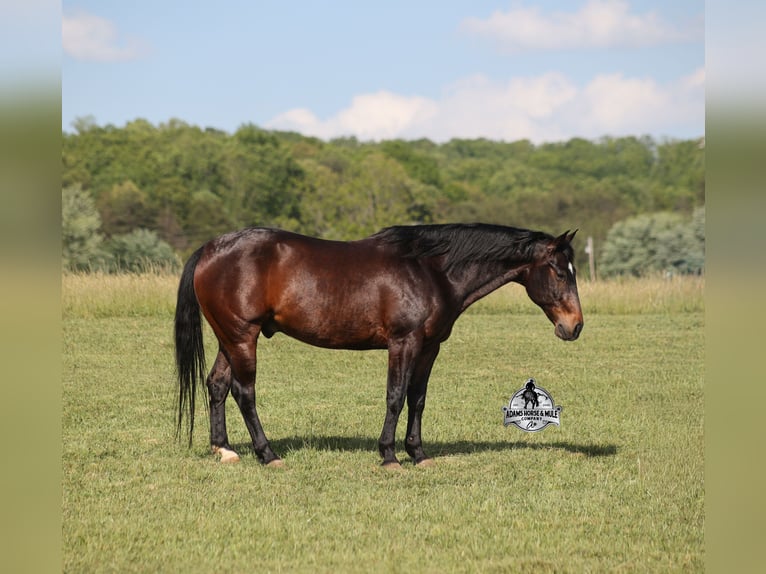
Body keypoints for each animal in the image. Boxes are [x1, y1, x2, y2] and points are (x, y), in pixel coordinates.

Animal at [174, 223, 583, 468]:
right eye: (559, 272)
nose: (575, 326)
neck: (430, 270)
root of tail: (211, 249)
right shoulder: (404, 343)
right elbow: (396, 396)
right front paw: (389, 455)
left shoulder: (429, 348)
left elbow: (418, 399)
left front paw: (418, 454)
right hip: (243, 336)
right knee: (244, 392)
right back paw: (268, 454)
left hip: (230, 338)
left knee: (217, 384)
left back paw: (224, 450)